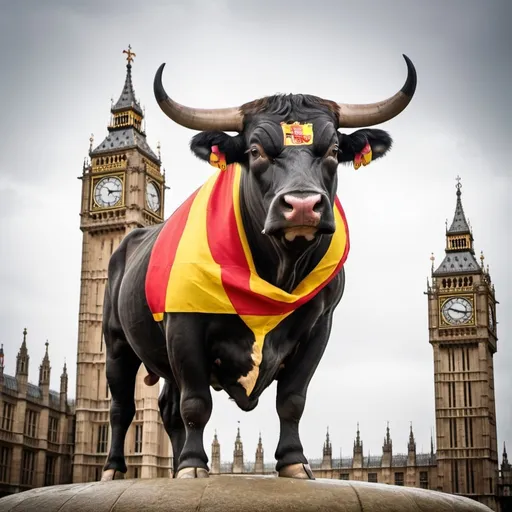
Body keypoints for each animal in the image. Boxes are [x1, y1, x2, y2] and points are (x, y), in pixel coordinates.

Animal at [99, 55, 416, 480]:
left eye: (334, 149)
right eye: (254, 150)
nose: (302, 205)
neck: (278, 269)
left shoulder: (319, 327)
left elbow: (293, 398)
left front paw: (294, 462)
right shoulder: (183, 325)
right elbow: (196, 402)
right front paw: (193, 466)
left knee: (166, 408)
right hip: (117, 342)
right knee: (124, 406)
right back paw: (117, 469)